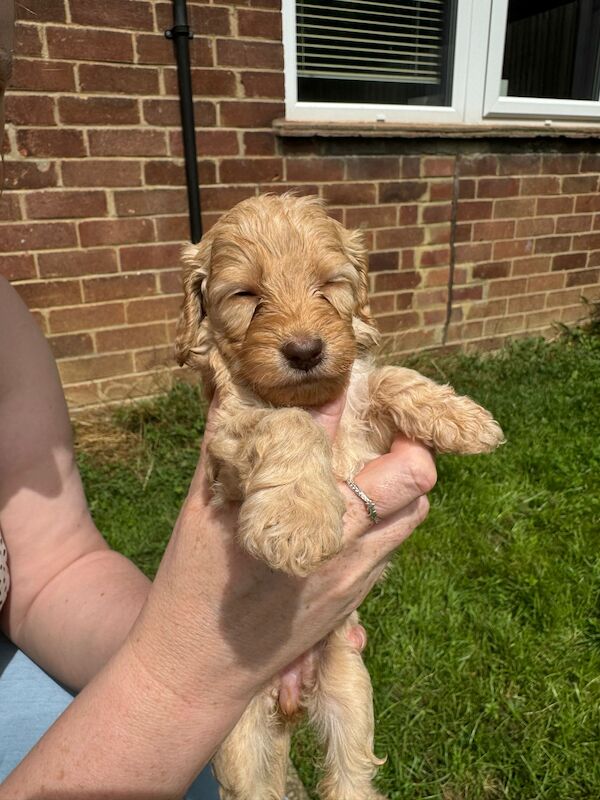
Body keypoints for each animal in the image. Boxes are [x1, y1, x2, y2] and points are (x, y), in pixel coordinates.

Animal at [176, 194, 504, 800]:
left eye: (328, 285)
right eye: (245, 295)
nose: (305, 351)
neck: (311, 396)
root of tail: (291, 699)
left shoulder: (366, 424)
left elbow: (386, 377)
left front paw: (463, 418)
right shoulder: (227, 441)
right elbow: (287, 424)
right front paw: (297, 524)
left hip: (350, 692)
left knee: (350, 772)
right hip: (239, 739)